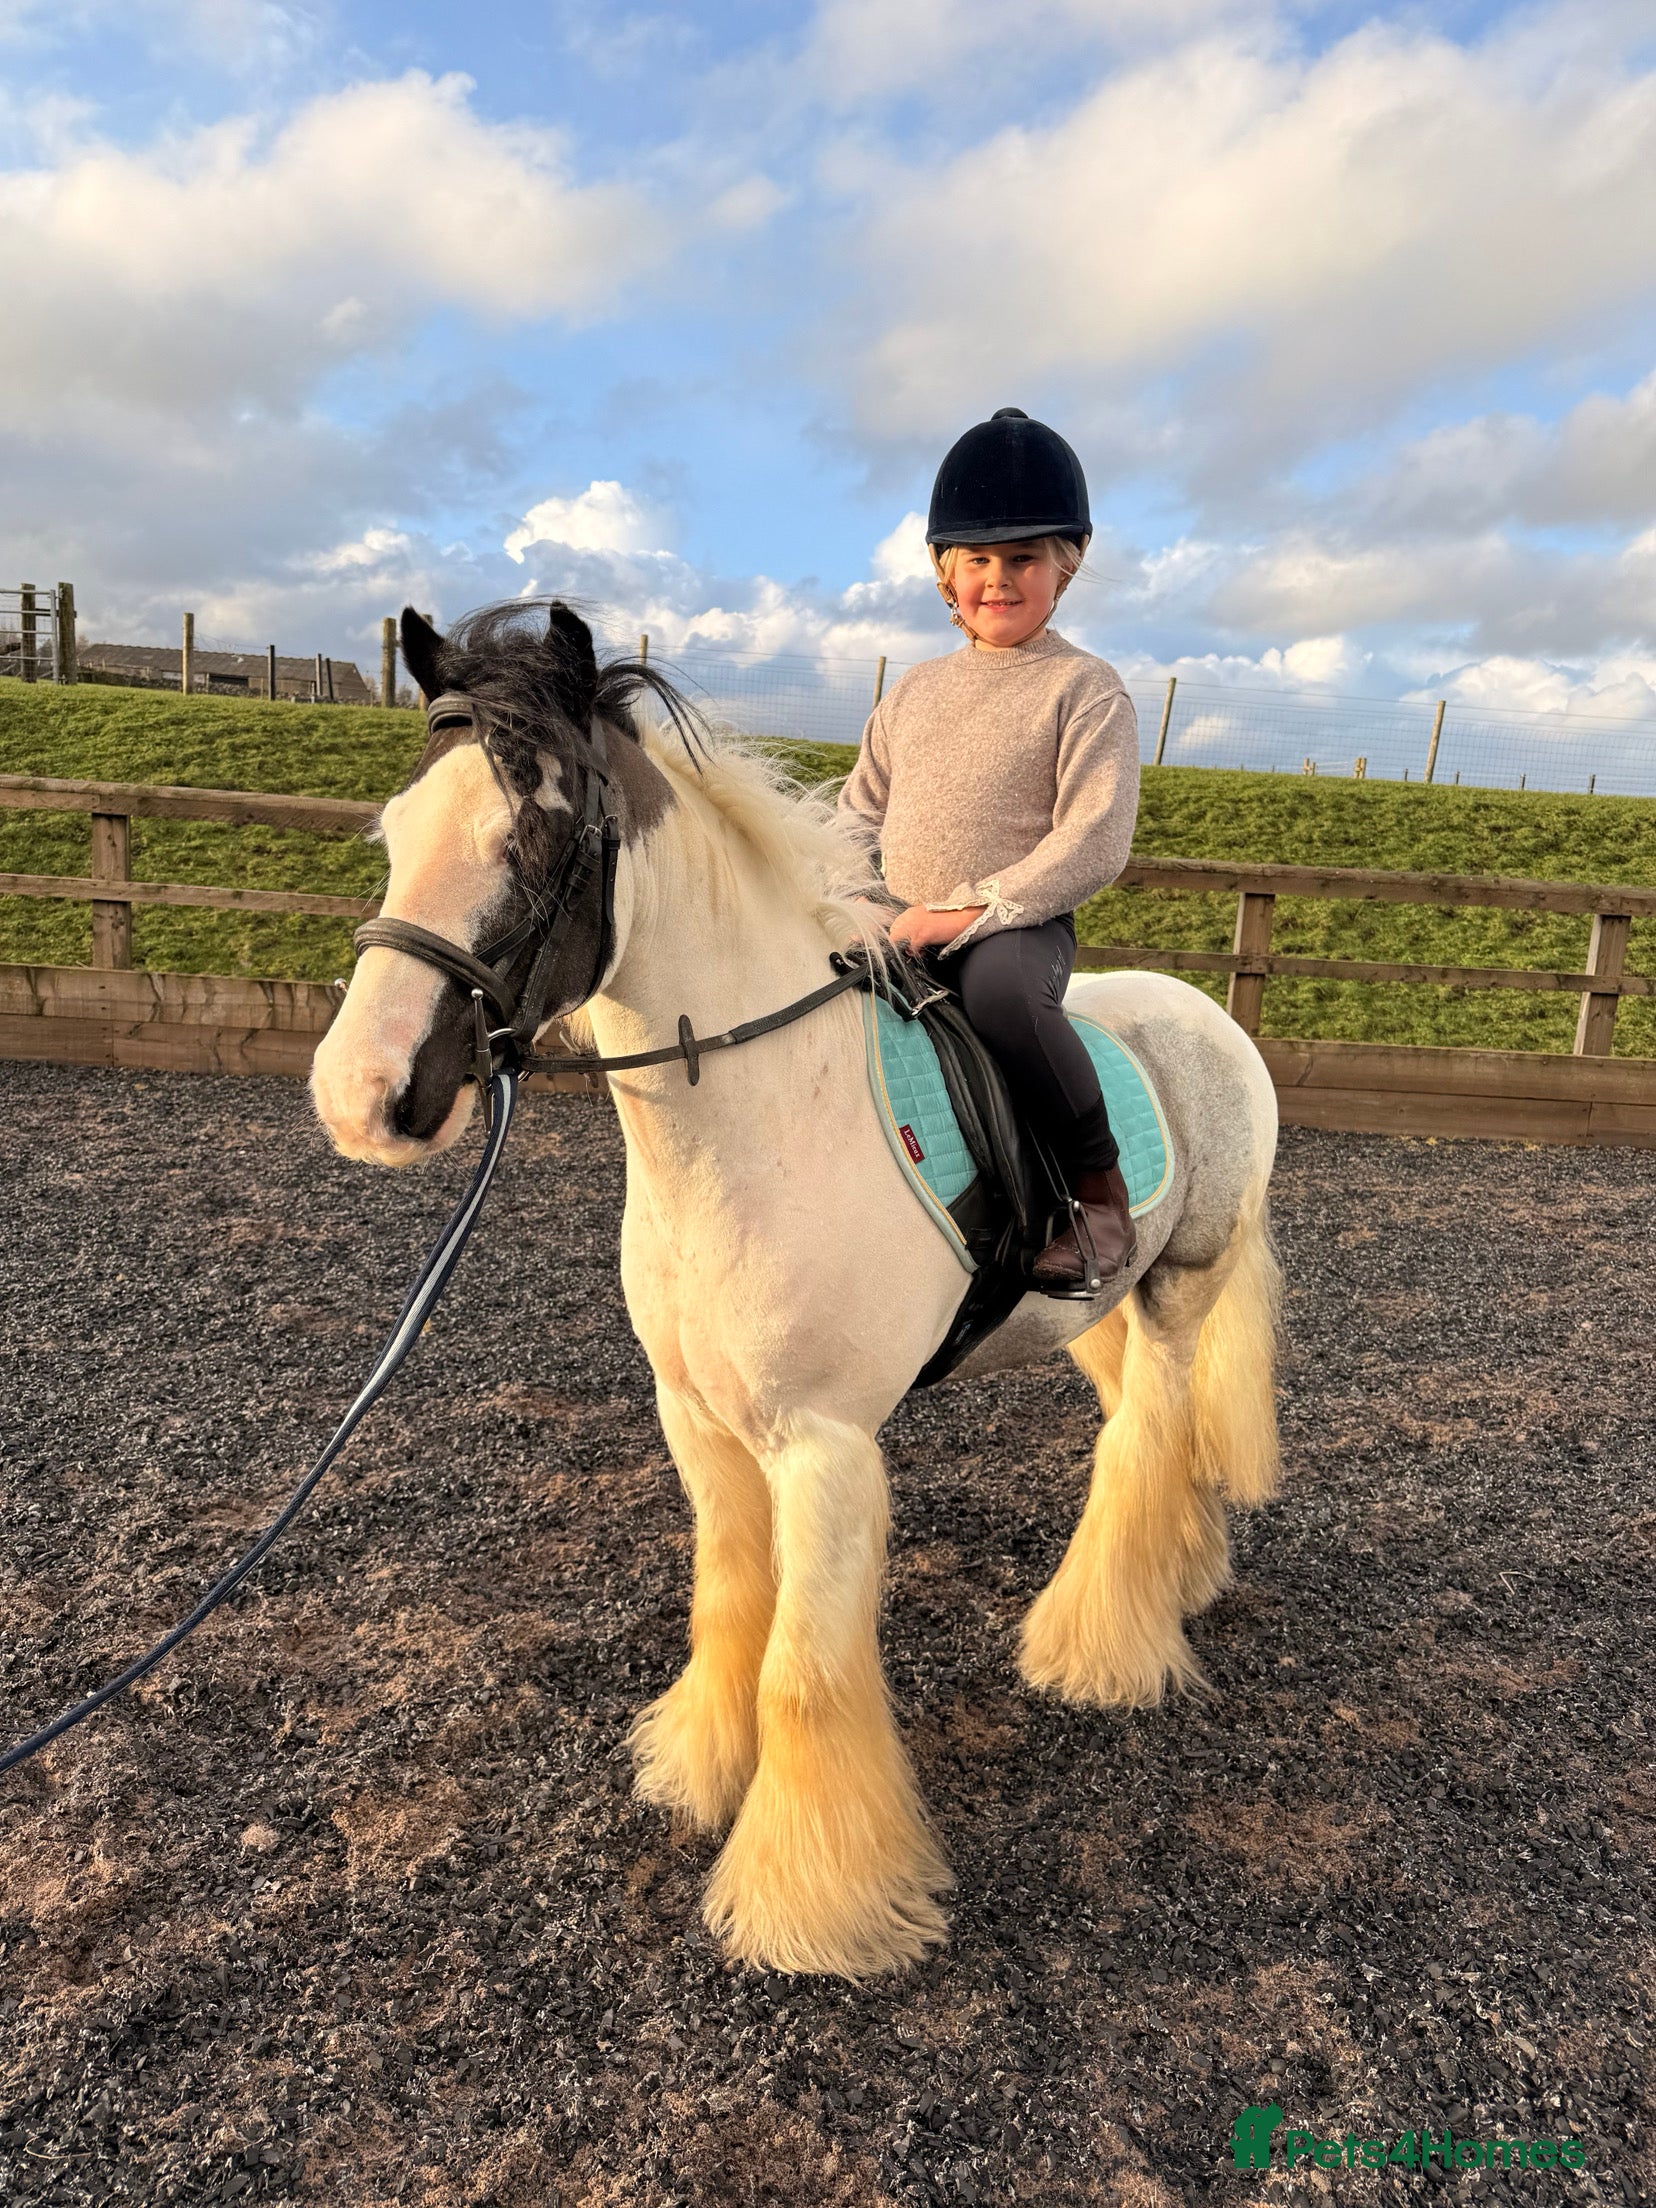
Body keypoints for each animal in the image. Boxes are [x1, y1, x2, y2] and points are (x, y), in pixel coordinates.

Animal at [311, 600, 1283, 1980]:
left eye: (529, 838)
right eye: (396, 834)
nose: (362, 1095)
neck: (761, 1118)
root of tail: (1207, 1017)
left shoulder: (826, 1445)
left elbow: (804, 1674)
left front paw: (810, 1901)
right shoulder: (698, 1420)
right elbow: (729, 1606)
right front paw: (697, 1769)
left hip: (1181, 1287)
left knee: (1149, 1433)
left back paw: (1103, 1647)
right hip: (1093, 1306)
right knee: (1158, 1424)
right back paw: (1177, 1575)